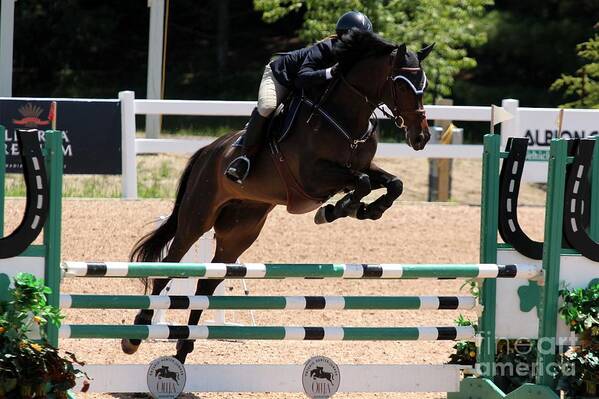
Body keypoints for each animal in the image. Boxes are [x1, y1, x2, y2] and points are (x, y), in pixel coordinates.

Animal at [120, 30, 432, 362]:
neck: (346, 117)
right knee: (168, 268)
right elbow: (360, 183)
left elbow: (393, 183)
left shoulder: (361, 167)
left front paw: (365, 210)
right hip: (196, 219)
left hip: (240, 231)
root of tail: (208, 150)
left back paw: (182, 350)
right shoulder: (314, 177)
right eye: (402, 83)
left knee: (207, 283)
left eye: (423, 85)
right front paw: (337, 210)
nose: (421, 137)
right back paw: (135, 337)